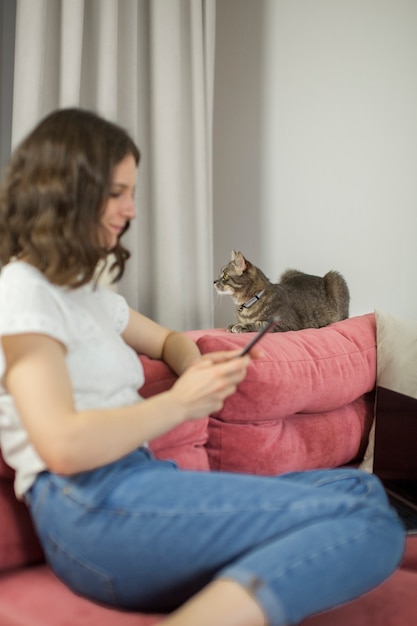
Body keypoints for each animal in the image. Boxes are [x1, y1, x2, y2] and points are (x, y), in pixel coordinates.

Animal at [213, 251, 350, 334]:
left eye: (225, 275)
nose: (213, 281)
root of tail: (320, 277)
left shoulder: (287, 323)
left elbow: (260, 324)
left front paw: (242, 326)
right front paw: (235, 324)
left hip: (335, 278)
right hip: (288, 272)